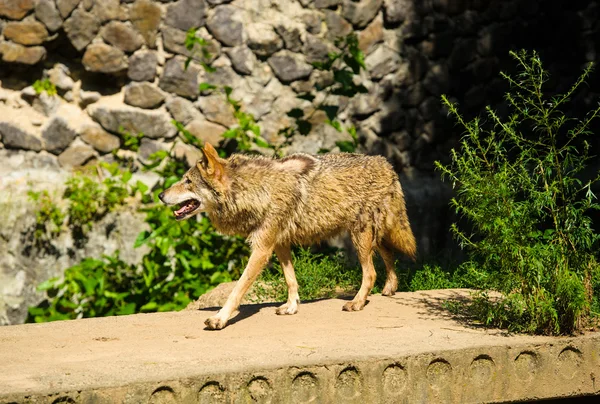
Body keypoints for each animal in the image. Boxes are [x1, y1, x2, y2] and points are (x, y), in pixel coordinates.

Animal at [158, 144, 418, 330]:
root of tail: (386, 163)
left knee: (371, 273)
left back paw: (357, 302)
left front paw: (219, 319)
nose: (160, 195)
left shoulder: (261, 249)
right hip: (376, 235)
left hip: (360, 237)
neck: (256, 191)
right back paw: (389, 288)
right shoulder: (279, 243)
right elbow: (290, 279)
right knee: (389, 256)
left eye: (187, 181)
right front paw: (292, 307)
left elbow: (237, 289)